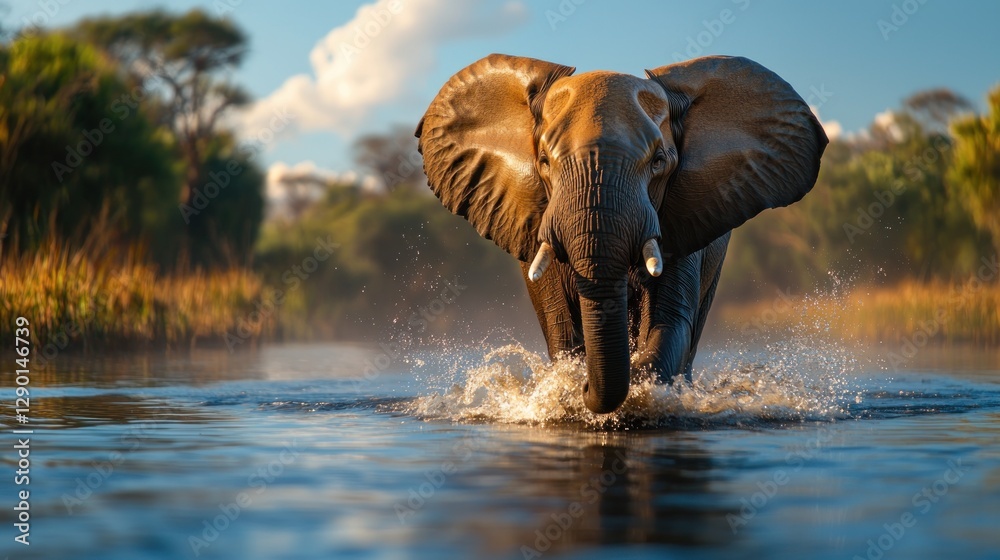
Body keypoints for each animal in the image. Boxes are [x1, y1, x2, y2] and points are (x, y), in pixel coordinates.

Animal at [415, 54, 827, 414]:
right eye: (545, 161)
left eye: (659, 162)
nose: (584, 388)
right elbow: (562, 330)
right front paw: (570, 386)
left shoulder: (682, 218)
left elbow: (668, 326)